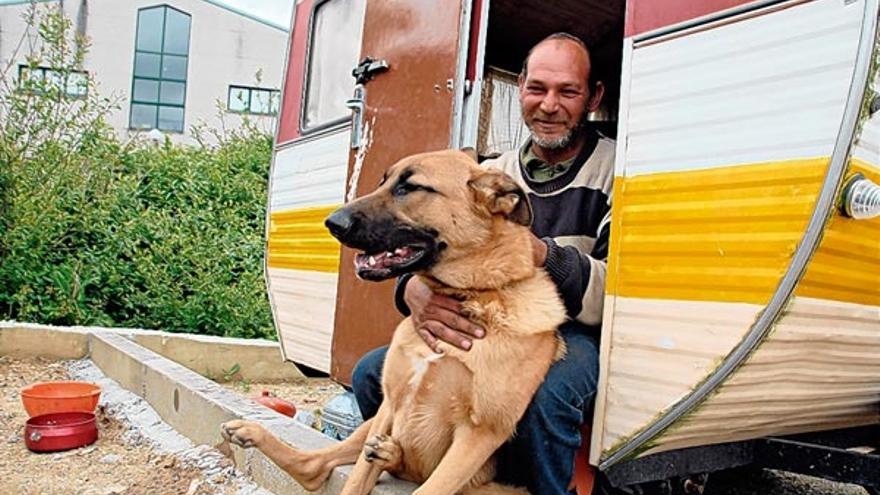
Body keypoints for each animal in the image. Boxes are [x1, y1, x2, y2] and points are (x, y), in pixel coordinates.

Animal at [220, 151, 564, 495]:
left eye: (410, 188)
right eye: (382, 182)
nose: (331, 222)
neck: (472, 295)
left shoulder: (478, 434)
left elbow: (429, 490)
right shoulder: (391, 404)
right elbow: (354, 481)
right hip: (371, 425)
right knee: (314, 465)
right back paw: (251, 432)